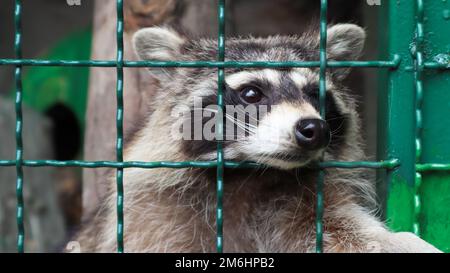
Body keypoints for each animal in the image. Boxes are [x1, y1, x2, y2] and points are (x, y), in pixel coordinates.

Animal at [74, 24, 440, 252]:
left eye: (314, 94)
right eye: (251, 93)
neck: (252, 174)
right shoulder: (151, 215)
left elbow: (350, 234)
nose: (314, 129)